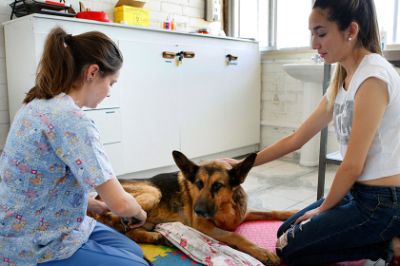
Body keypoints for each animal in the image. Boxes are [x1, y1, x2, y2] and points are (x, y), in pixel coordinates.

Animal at [89, 151, 296, 264]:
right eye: (198, 183)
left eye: (217, 186)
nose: (198, 211)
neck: (225, 208)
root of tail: (96, 197)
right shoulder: (203, 226)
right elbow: (235, 236)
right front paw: (262, 252)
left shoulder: (243, 214)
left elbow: (270, 211)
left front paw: (292, 213)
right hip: (151, 192)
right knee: (118, 222)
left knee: (128, 231)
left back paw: (155, 236)